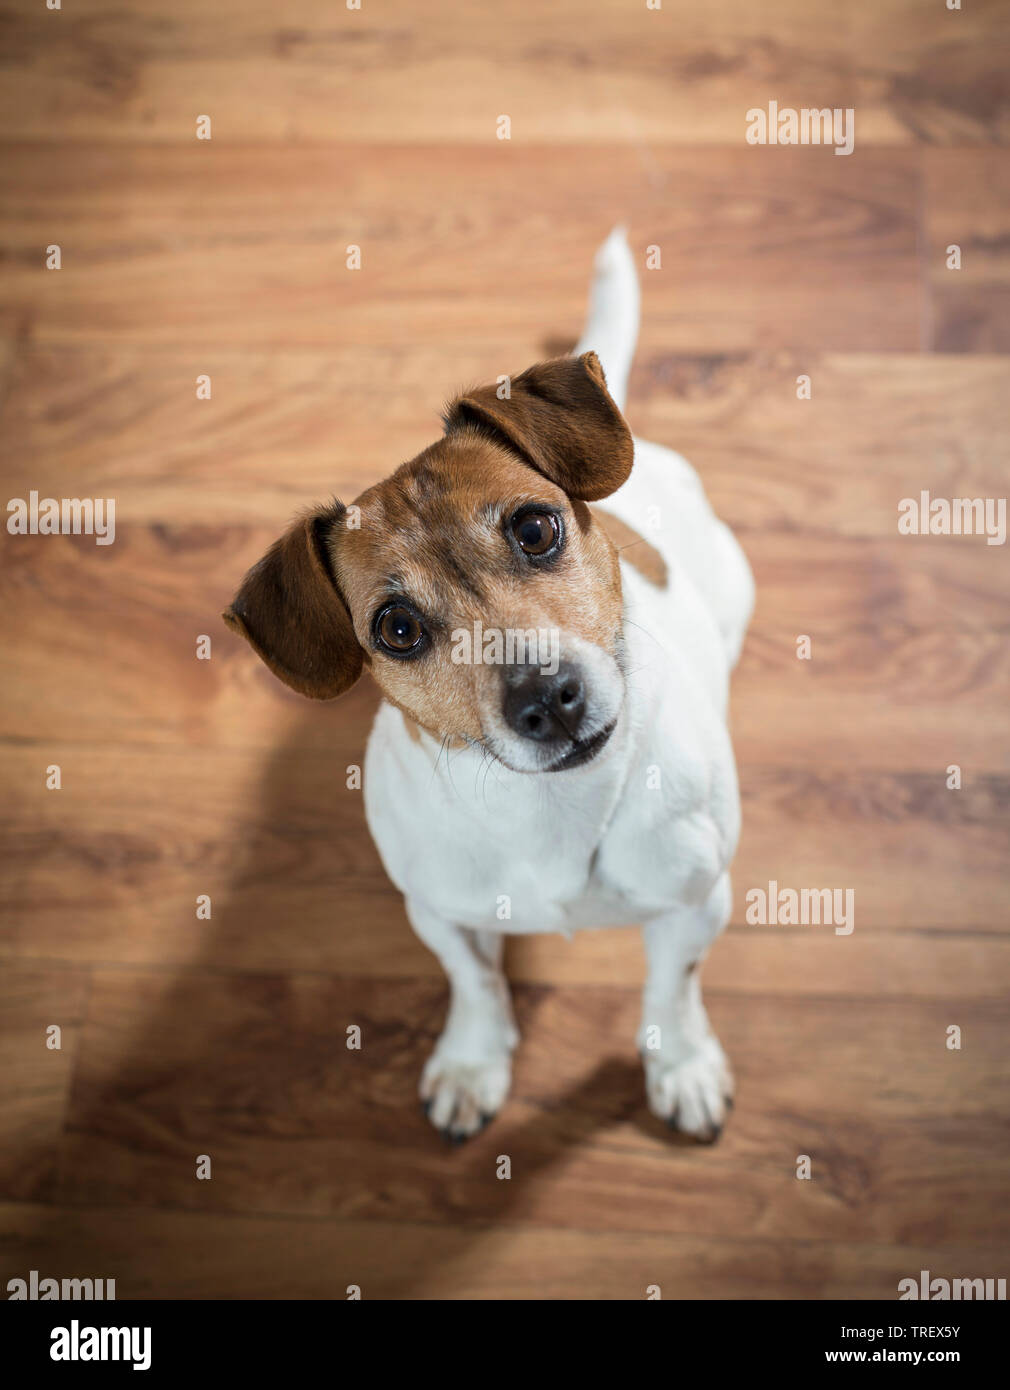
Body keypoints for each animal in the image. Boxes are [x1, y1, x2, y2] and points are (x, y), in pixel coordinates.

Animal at [225, 227, 755, 1139]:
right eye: (397, 628)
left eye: (536, 527)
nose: (546, 700)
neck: (553, 810)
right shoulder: (441, 912)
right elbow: (473, 982)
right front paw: (473, 1063)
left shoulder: (694, 903)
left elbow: (672, 988)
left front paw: (682, 1063)